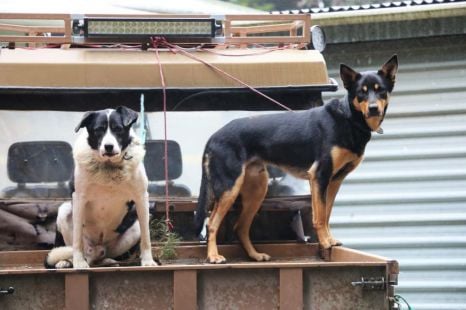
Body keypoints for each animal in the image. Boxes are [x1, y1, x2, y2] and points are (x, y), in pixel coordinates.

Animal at [45, 105, 158, 268]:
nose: (108, 146)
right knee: (79, 252)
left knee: (99, 257)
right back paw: (66, 262)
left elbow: (146, 237)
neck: (108, 167)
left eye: (118, 129)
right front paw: (79, 263)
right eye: (99, 130)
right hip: (64, 211)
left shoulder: (141, 197)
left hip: (132, 227)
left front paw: (148, 261)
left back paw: (108, 260)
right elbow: (77, 240)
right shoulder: (79, 198)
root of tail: (98, 246)